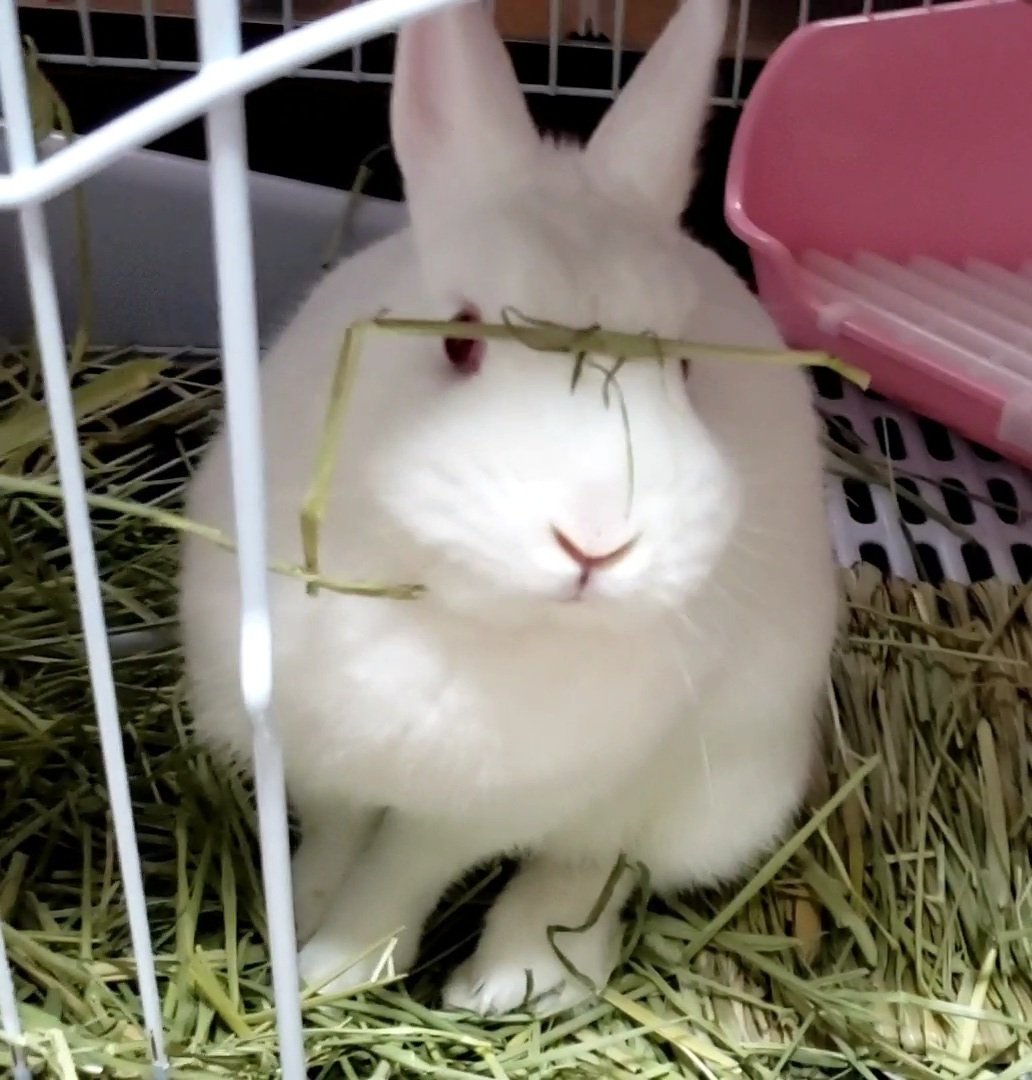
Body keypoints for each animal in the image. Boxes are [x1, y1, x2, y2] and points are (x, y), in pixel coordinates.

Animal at [177, 0, 839, 1016]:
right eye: (456, 342)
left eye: (684, 367)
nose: (597, 542)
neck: (451, 617)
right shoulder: (314, 755)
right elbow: (334, 838)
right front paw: (300, 919)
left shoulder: (481, 807)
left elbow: (400, 872)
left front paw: (335, 969)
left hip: (710, 789)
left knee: (599, 863)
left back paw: (516, 983)